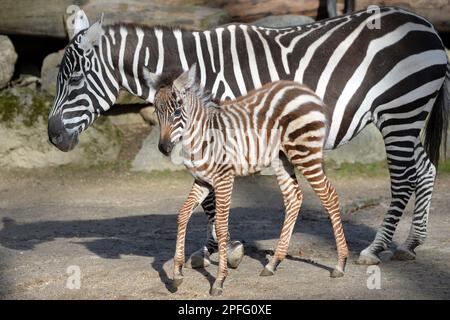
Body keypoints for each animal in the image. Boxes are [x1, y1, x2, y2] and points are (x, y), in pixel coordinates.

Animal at [48, 6, 450, 268]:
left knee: (403, 179)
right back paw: (411, 243)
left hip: (400, 109)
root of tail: (425, 23)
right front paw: (212, 249)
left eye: (74, 80)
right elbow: (208, 198)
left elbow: (213, 199)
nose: (53, 137)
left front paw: (223, 250)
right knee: (426, 170)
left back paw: (375, 249)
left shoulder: (218, 132)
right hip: (407, 113)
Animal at [146, 64, 350, 296]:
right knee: (294, 197)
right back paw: (273, 263)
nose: (164, 148)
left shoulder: (224, 179)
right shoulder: (202, 181)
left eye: (177, 112)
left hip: (304, 153)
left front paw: (219, 281)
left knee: (329, 196)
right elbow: (182, 216)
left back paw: (340, 264)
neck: (201, 136)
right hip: (281, 158)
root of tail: (304, 90)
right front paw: (177, 275)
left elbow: (221, 227)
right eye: (156, 111)